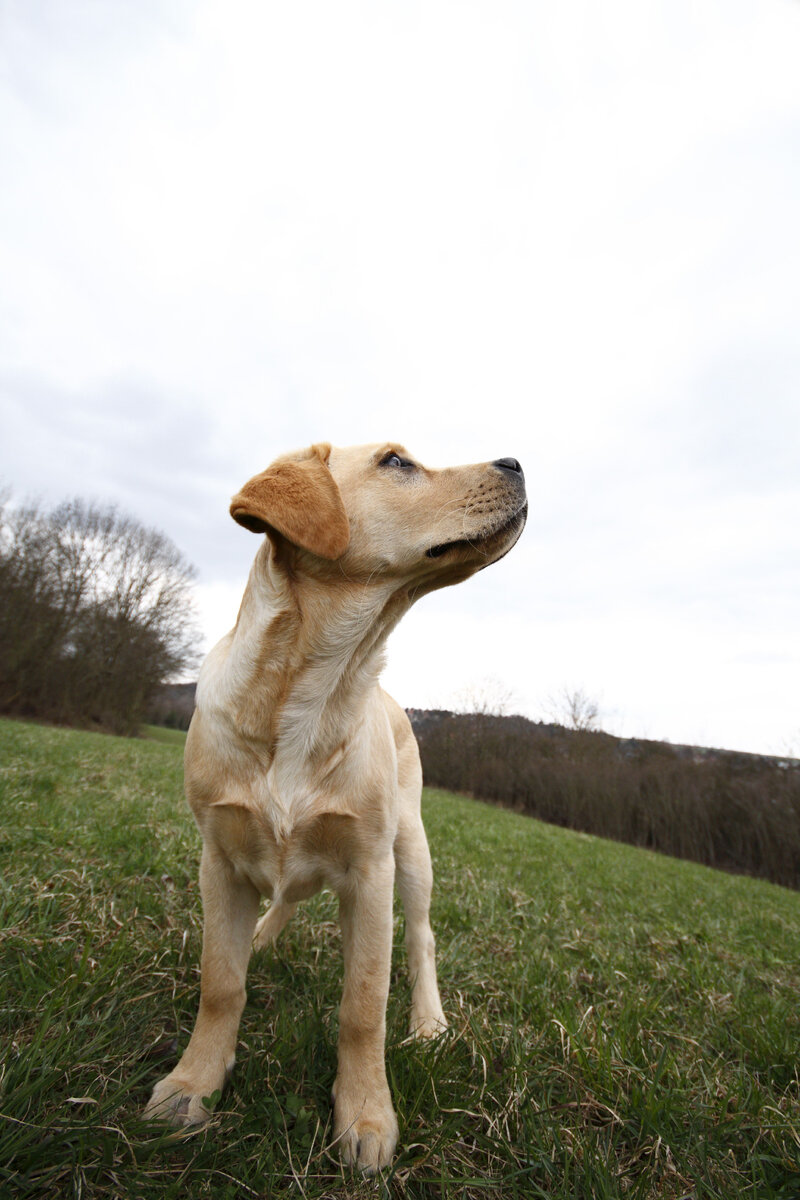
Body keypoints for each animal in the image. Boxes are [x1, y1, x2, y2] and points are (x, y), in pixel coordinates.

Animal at [146, 441, 527, 1171]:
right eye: (396, 461)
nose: (516, 463)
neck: (317, 688)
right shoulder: (219, 857)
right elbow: (221, 982)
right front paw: (192, 1083)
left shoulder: (371, 870)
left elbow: (363, 1006)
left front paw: (367, 1116)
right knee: (287, 898)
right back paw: (263, 936)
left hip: (412, 848)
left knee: (422, 938)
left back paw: (429, 1023)